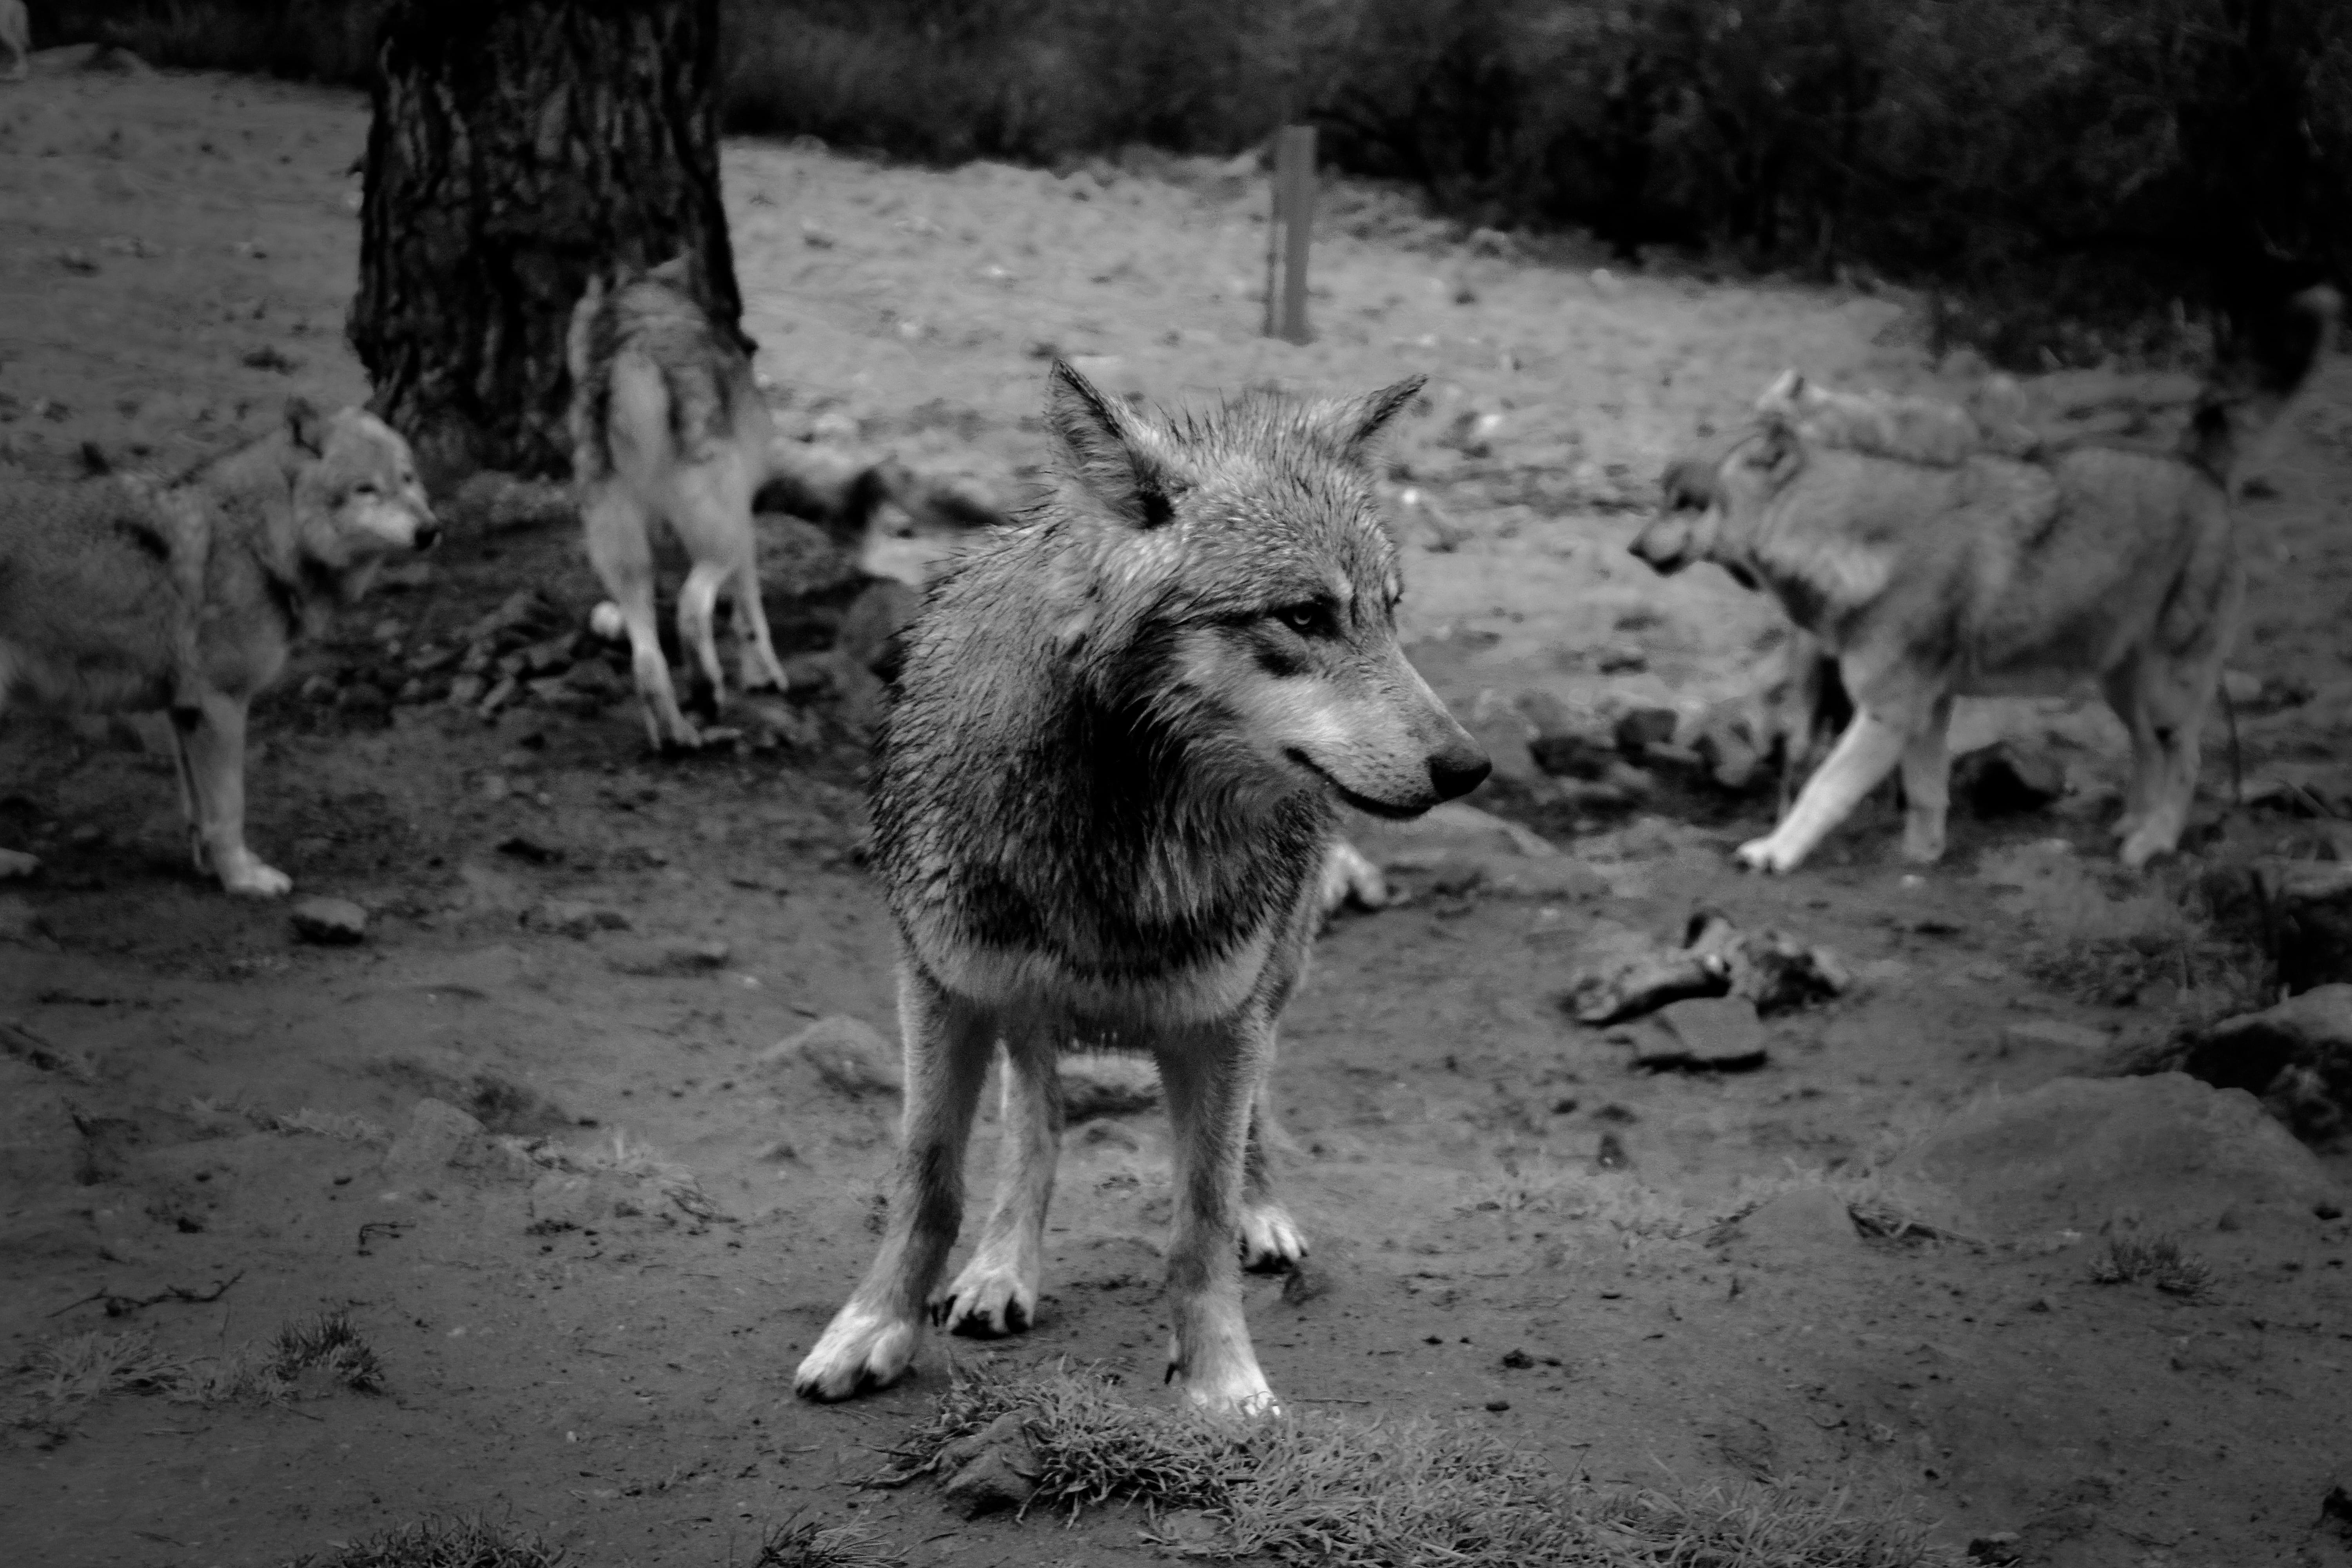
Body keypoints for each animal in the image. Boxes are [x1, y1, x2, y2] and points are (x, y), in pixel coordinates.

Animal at [0, 399, 438, 895]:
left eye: (408, 478)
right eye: (366, 489)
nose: (430, 530)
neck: (257, 536)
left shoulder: (185, 711)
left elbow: (200, 811)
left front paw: (212, 869)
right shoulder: (221, 704)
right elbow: (230, 809)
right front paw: (245, 880)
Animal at [567, 255, 792, 751]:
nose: (751, 344)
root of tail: (633, 357)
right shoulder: (744, 521)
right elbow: (751, 615)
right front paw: (767, 677)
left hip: (624, 563)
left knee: (648, 663)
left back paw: (676, 736)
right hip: (718, 537)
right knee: (692, 611)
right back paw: (707, 693)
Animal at [792, 362, 1489, 1415]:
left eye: (1389, 612)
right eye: (1304, 615)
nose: (1469, 766)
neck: (1122, 820)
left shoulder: (1217, 1023)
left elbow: (1198, 1220)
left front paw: (1223, 1381)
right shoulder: (940, 988)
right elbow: (930, 1178)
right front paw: (874, 1327)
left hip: (1272, 980)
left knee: (1253, 1118)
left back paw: (1263, 1215)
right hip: (1020, 999)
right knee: (1036, 1117)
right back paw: (1002, 1267)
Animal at [1630, 285, 2337, 874]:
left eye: (1686, 504)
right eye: (1664, 497)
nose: (1634, 549)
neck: (1853, 544)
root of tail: (2198, 466)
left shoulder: (1888, 712)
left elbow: (1823, 789)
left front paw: (1774, 853)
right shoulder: (1927, 709)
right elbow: (1925, 794)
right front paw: (1920, 859)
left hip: (2166, 690)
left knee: (2186, 761)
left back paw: (2152, 845)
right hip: (2121, 684)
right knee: (2147, 755)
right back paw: (2130, 827)